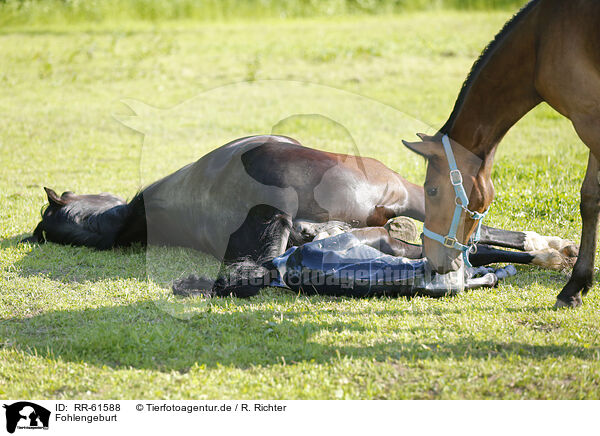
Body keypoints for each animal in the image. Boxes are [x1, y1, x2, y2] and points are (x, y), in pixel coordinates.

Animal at [404, 0, 600, 308]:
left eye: (432, 190)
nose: (431, 257)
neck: (540, 41)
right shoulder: (590, 119)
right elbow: (590, 198)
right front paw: (575, 286)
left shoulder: (590, 119)